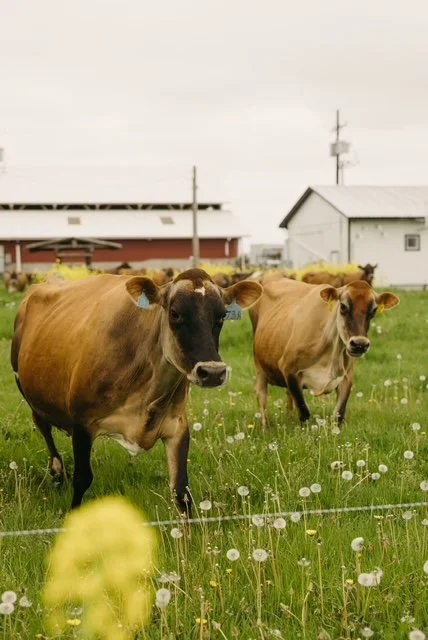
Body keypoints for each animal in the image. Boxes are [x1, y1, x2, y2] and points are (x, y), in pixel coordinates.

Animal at [11, 269, 262, 512]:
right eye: (175, 313)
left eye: (221, 316)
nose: (212, 372)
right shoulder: (82, 422)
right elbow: (82, 479)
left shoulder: (177, 427)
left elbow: (181, 491)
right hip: (27, 390)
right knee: (43, 425)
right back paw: (56, 472)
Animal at [249, 278, 399, 430]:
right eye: (343, 306)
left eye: (374, 310)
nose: (359, 344)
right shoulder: (288, 369)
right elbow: (304, 411)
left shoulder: (346, 377)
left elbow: (339, 414)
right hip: (259, 367)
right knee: (262, 397)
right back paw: (265, 428)